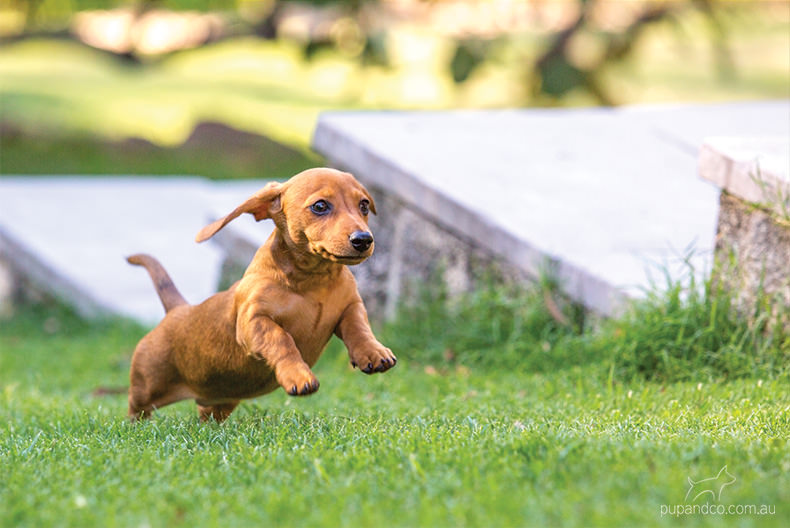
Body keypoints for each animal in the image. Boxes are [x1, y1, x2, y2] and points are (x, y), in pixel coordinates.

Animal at [128, 167, 396, 422]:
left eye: (363, 205)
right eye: (320, 206)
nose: (364, 239)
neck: (313, 281)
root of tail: (177, 309)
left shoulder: (351, 306)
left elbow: (358, 327)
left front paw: (373, 352)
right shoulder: (254, 321)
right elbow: (282, 340)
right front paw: (298, 375)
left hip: (222, 399)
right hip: (147, 386)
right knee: (136, 408)